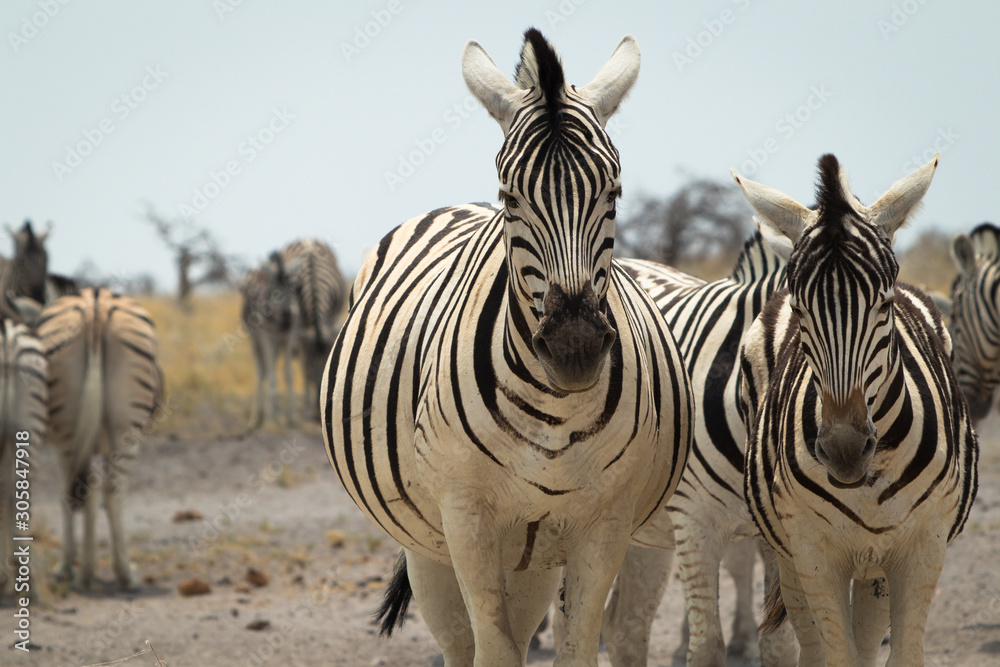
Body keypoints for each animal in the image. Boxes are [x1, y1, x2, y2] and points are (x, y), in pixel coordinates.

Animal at [37, 288, 163, 591]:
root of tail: (95, 304)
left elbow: (67, 495)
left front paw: (65, 567)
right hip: (124, 431)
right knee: (110, 493)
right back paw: (122, 573)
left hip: (72, 431)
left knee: (86, 491)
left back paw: (89, 572)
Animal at [241, 251, 301, 427]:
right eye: (274, 290)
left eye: (294, 288)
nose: (288, 319)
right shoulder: (266, 337)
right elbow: (272, 375)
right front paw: (270, 420)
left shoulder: (289, 336)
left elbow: (288, 373)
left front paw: (292, 417)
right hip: (256, 341)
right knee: (262, 371)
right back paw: (256, 417)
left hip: (277, 343)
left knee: (270, 368)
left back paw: (277, 413)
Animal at [279, 238, 346, 420]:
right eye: (310, 371)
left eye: (328, 368)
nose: (318, 414)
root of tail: (306, 238)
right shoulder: (299, 323)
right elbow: (302, 361)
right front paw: (306, 410)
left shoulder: (331, 319)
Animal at [321, 29, 692, 665]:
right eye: (511, 196)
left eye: (614, 191)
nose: (574, 345)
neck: (556, 410)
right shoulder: (466, 518)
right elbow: (491, 649)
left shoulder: (605, 523)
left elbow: (575, 647)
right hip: (429, 544)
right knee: (461, 644)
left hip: (533, 552)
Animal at [736, 154, 978, 666]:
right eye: (801, 310)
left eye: (883, 306)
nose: (845, 450)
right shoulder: (812, 551)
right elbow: (835, 654)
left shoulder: (922, 547)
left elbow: (902, 653)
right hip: (787, 553)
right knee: (810, 645)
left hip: (875, 570)